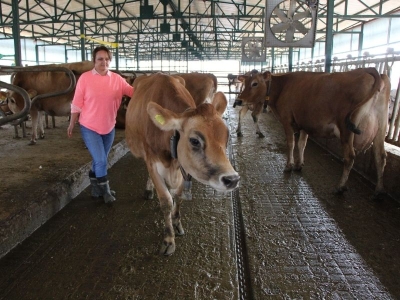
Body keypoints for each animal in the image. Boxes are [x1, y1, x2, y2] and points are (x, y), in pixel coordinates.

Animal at [125, 73, 239, 255]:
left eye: (227, 136)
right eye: (194, 141)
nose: (232, 179)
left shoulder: (184, 166)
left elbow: (178, 197)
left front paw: (177, 222)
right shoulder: (152, 161)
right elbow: (165, 201)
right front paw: (168, 239)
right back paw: (149, 189)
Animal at [239, 68, 390, 197]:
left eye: (255, 83)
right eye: (244, 83)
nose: (239, 100)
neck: (282, 87)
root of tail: (370, 71)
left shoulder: (287, 121)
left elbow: (291, 144)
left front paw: (289, 166)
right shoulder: (305, 124)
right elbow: (301, 144)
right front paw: (299, 165)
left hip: (346, 129)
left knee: (350, 157)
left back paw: (340, 186)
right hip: (381, 127)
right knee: (380, 156)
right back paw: (379, 189)